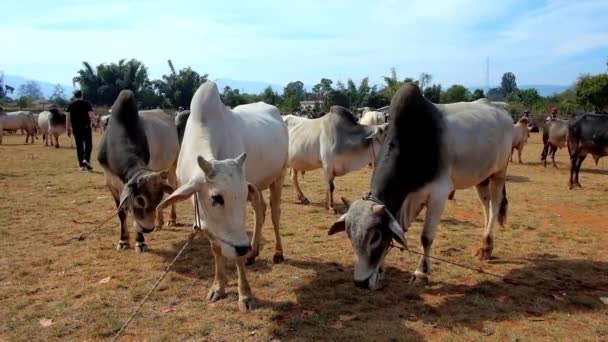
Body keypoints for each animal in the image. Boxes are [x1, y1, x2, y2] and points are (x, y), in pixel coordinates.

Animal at [97, 91, 178, 254]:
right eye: (140, 200)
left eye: (156, 199)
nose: (148, 229)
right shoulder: (110, 182)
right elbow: (121, 212)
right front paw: (123, 240)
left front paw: (140, 242)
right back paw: (159, 222)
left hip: (172, 166)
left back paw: (171, 219)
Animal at [157, 81, 290, 312]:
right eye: (216, 198)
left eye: (241, 196)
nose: (244, 248)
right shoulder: (207, 219)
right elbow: (216, 249)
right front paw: (218, 287)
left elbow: (236, 258)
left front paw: (245, 295)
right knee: (261, 210)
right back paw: (254, 252)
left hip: (278, 176)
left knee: (274, 212)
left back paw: (276, 252)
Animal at [328, 83, 512, 288]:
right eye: (349, 235)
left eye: (375, 236)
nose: (360, 282)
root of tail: (502, 111)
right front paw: (381, 270)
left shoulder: (439, 194)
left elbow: (426, 237)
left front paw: (421, 273)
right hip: (482, 178)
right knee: (486, 206)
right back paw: (483, 246)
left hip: (499, 173)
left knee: (495, 206)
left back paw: (487, 246)